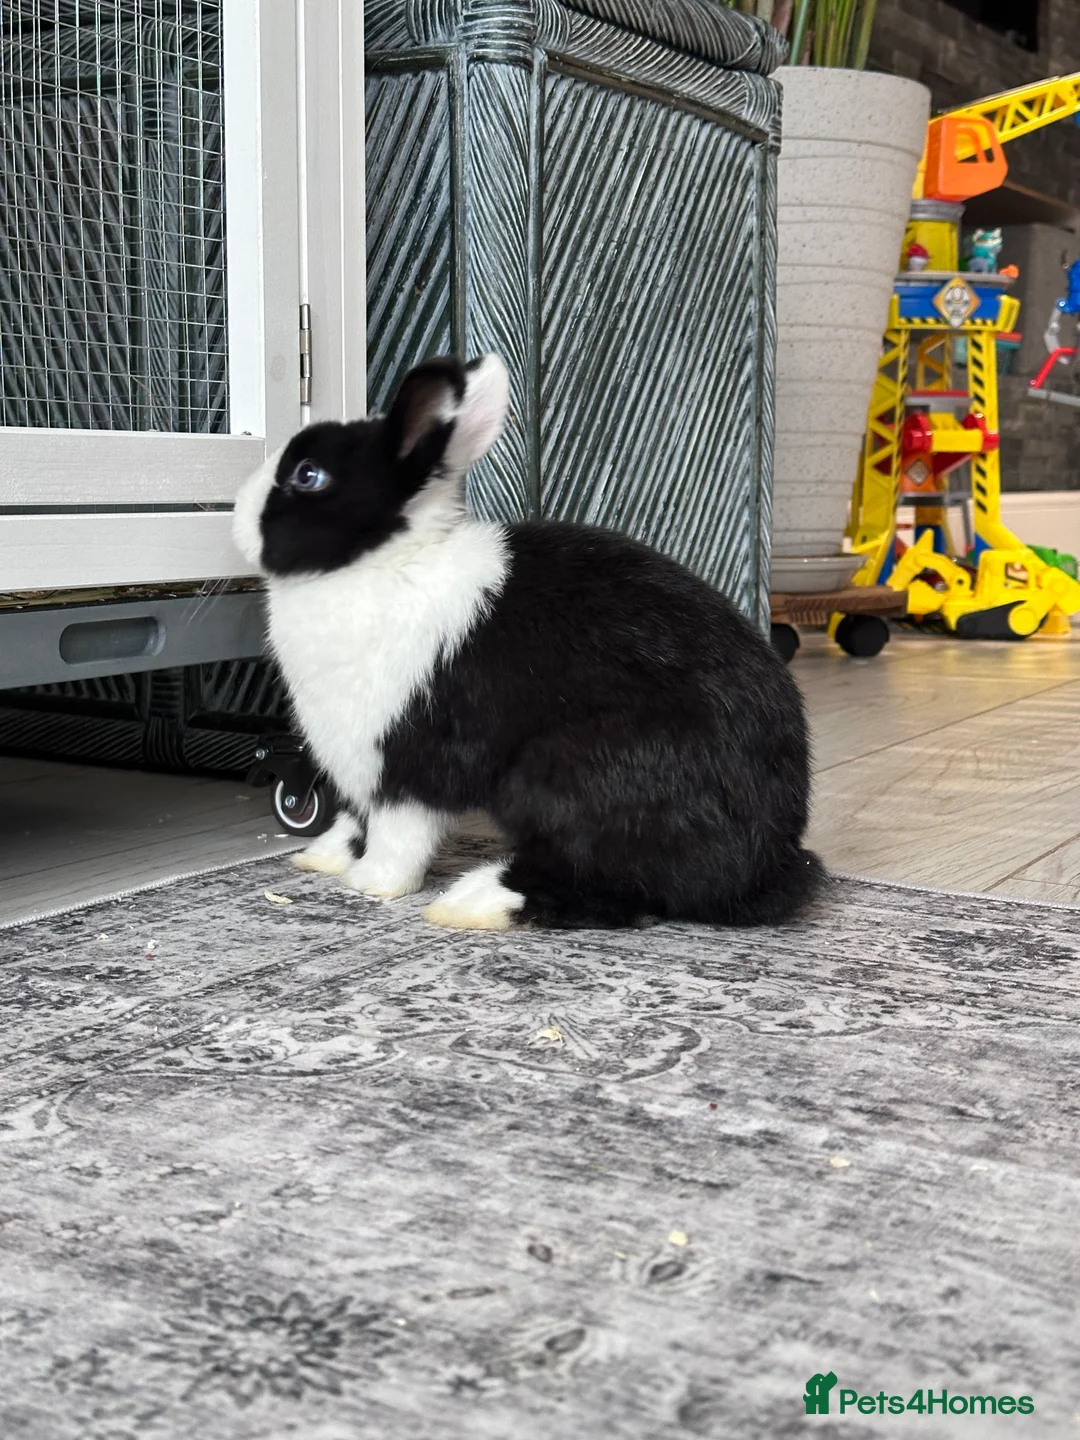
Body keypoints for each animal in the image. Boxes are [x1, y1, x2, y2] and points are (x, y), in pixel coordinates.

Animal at [232, 354, 824, 931]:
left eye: (309, 475)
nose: (235, 515)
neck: (385, 560)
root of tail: (765, 862)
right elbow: (354, 819)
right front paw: (320, 858)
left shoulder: (404, 757)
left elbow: (400, 830)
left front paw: (372, 883)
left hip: (566, 775)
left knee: (615, 884)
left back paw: (473, 901)